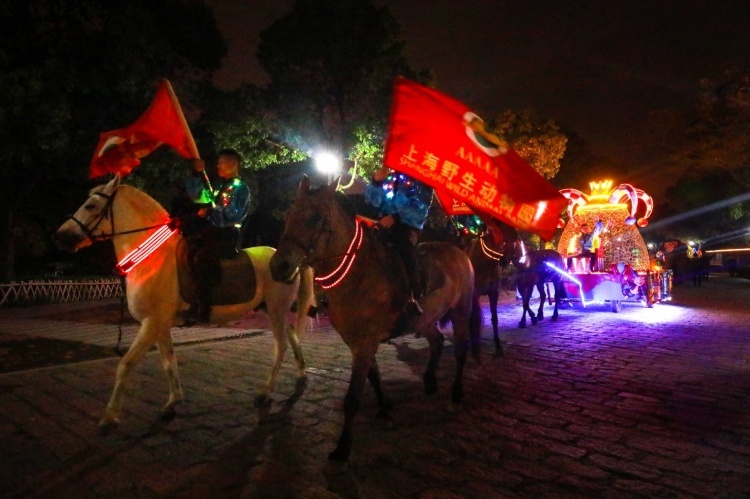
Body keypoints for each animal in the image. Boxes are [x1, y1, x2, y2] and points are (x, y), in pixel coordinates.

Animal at [53, 176, 316, 430]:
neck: (153, 258)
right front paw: (172, 402)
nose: (60, 237)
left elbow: (126, 364)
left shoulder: (151, 323)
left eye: (90, 205)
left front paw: (110, 417)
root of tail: (287, 257)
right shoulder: (160, 324)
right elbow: (169, 362)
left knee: (280, 346)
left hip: (276, 310)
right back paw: (301, 375)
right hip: (272, 309)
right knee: (292, 336)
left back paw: (265, 391)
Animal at [270, 178, 482, 462]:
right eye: (289, 216)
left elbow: (353, 397)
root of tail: (459, 254)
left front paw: (342, 448)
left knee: (460, 351)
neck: (357, 274)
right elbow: (373, 376)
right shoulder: (355, 341)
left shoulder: (365, 342)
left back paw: (456, 397)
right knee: (437, 341)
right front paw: (384, 407)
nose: (278, 267)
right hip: (424, 320)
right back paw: (429, 381)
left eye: (315, 218)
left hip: (460, 311)